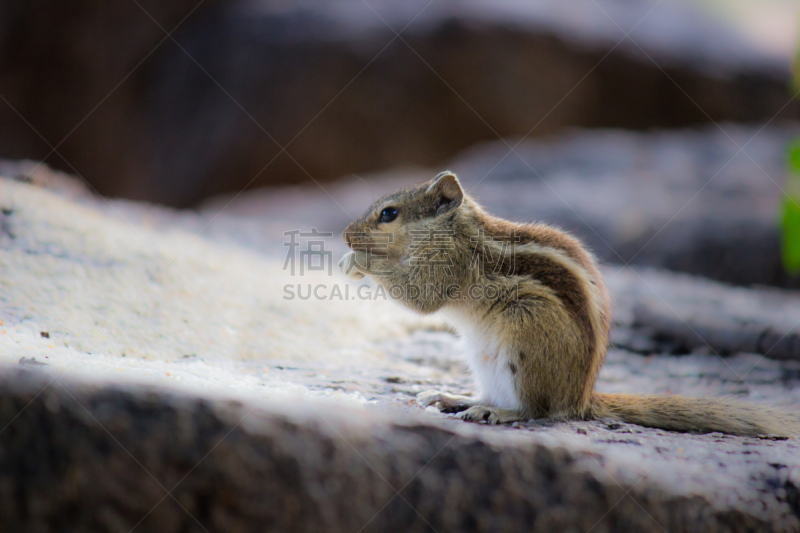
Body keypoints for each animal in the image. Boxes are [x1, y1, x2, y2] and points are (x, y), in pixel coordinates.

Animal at [340, 170, 800, 436]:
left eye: (388, 214)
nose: (345, 234)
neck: (456, 228)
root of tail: (581, 399)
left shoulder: (447, 266)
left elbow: (420, 297)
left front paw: (358, 261)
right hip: (482, 356)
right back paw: (460, 399)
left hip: (525, 330)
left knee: (538, 410)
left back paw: (498, 414)